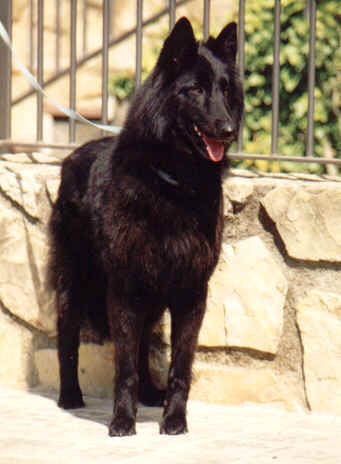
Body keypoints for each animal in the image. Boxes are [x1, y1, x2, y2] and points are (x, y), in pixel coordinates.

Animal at [49, 15, 243, 436]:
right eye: (195, 89)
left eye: (225, 89)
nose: (228, 130)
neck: (174, 183)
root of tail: (72, 155)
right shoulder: (124, 289)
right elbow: (123, 369)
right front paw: (123, 420)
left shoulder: (190, 292)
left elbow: (179, 367)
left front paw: (174, 419)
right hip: (76, 286)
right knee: (67, 338)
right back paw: (70, 396)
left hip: (150, 300)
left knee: (139, 348)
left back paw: (151, 395)